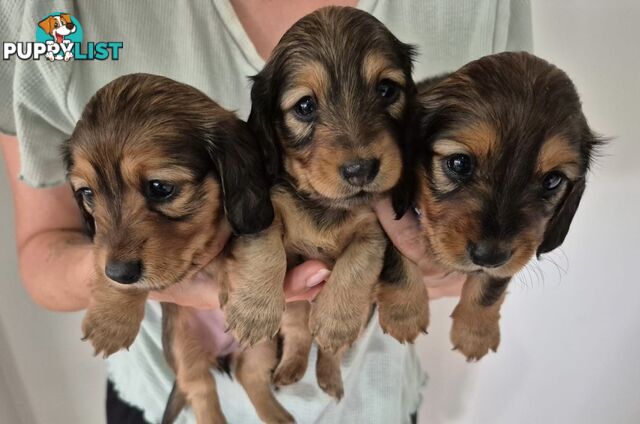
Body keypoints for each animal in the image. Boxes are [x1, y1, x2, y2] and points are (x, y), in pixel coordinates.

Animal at [62, 73, 292, 424]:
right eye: (87, 193)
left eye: (160, 187)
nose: (121, 274)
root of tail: (220, 350)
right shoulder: (106, 250)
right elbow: (103, 255)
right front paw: (110, 320)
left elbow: (257, 240)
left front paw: (252, 304)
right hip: (184, 351)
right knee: (203, 394)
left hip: (260, 348)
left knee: (250, 377)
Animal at [221, 5, 430, 398]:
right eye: (304, 105)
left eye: (386, 90)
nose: (361, 170)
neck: (325, 205)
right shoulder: (267, 210)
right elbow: (265, 249)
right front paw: (253, 310)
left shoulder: (374, 229)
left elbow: (358, 265)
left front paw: (337, 319)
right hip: (295, 310)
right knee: (300, 335)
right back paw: (289, 369)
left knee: (329, 349)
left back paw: (329, 375)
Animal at [402, 50, 604, 362]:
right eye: (459, 163)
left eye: (552, 180)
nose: (489, 256)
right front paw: (405, 314)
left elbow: (492, 286)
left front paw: (474, 333)